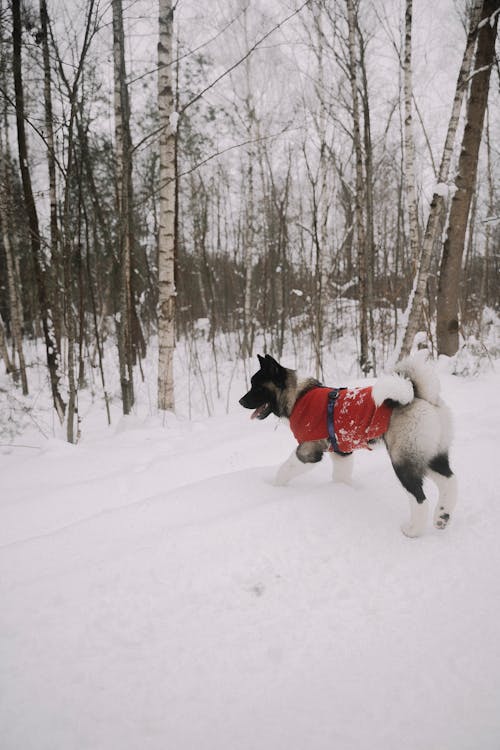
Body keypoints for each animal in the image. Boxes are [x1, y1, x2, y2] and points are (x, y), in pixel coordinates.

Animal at [240, 356, 458, 536]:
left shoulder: (308, 451)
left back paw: (414, 530)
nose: (241, 401)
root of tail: (421, 397)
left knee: (420, 499)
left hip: (403, 460)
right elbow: (341, 475)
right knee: (449, 481)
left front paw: (275, 489)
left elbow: (284, 469)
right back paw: (442, 517)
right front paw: (342, 491)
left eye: (258, 387)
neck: (297, 396)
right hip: (432, 455)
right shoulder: (341, 452)